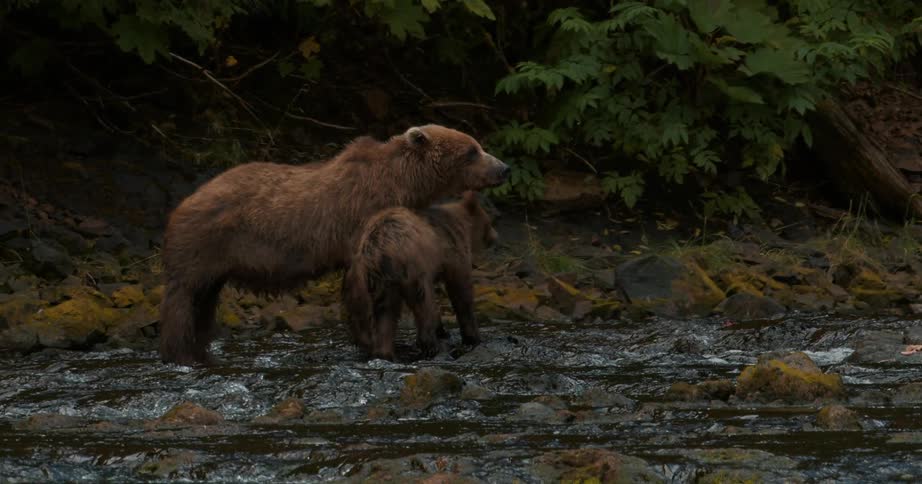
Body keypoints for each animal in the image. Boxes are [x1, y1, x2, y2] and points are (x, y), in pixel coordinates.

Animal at [342, 190, 497, 361]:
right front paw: (472, 337)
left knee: (380, 313)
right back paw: (430, 346)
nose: (495, 237)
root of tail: (379, 250)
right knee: (422, 304)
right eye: (489, 222)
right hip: (411, 269)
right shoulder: (453, 251)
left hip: (367, 281)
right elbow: (460, 289)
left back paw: (382, 351)